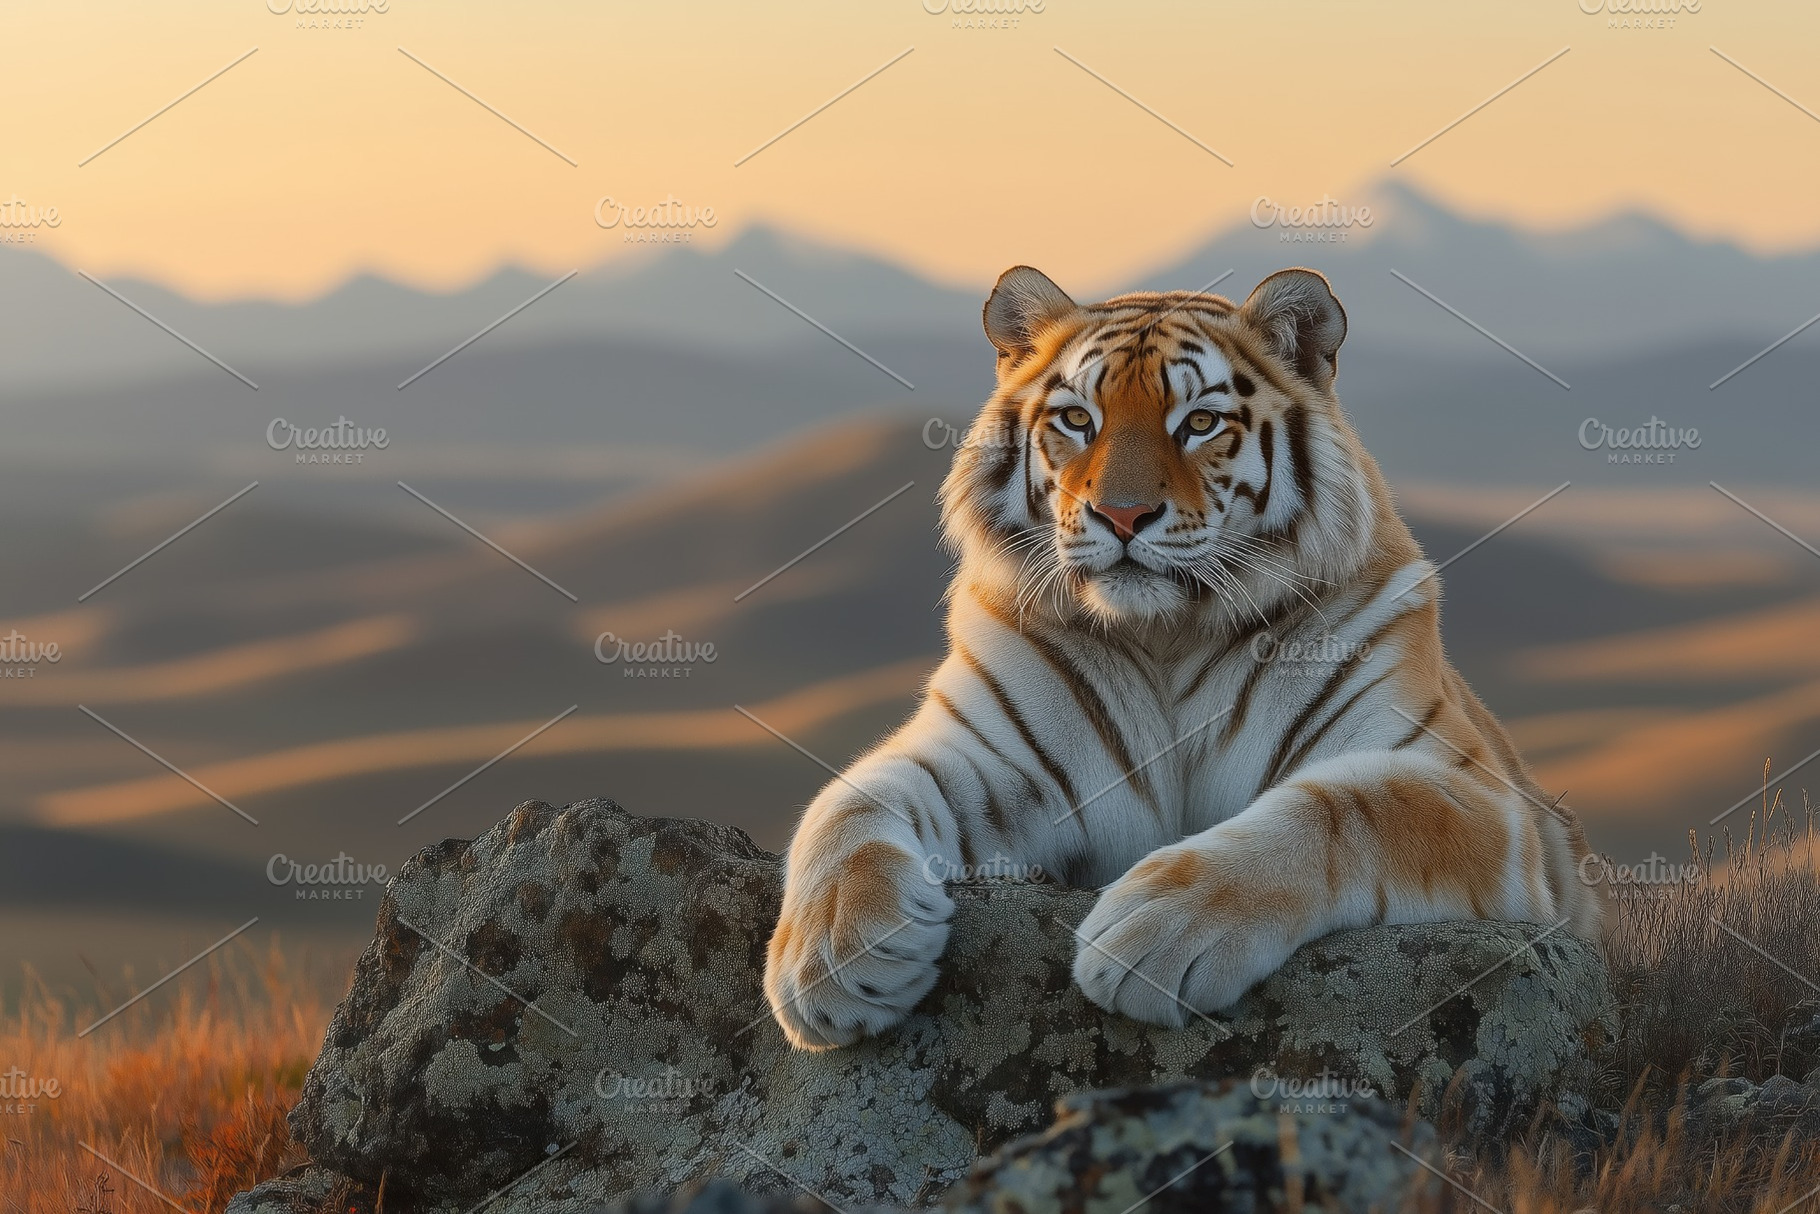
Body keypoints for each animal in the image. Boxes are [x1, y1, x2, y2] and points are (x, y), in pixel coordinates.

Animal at [764, 265, 1600, 1050]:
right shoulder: (993, 760)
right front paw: (835, 960)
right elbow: (849, 801)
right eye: (1077, 418)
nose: (1121, 514)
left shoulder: (1474, 791)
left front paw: (1153, 932)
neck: (1168, 635)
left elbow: (1344, 807)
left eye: (1199, 422)